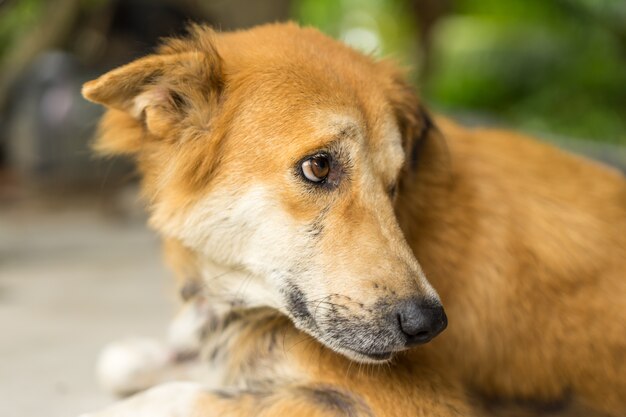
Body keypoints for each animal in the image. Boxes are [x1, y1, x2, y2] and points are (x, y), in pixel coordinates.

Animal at [79, 23, 624, 416]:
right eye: (318, 166)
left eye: (394, 182)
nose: (429, 326)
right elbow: (121, 361)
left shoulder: (415, 405)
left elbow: (176, 395)